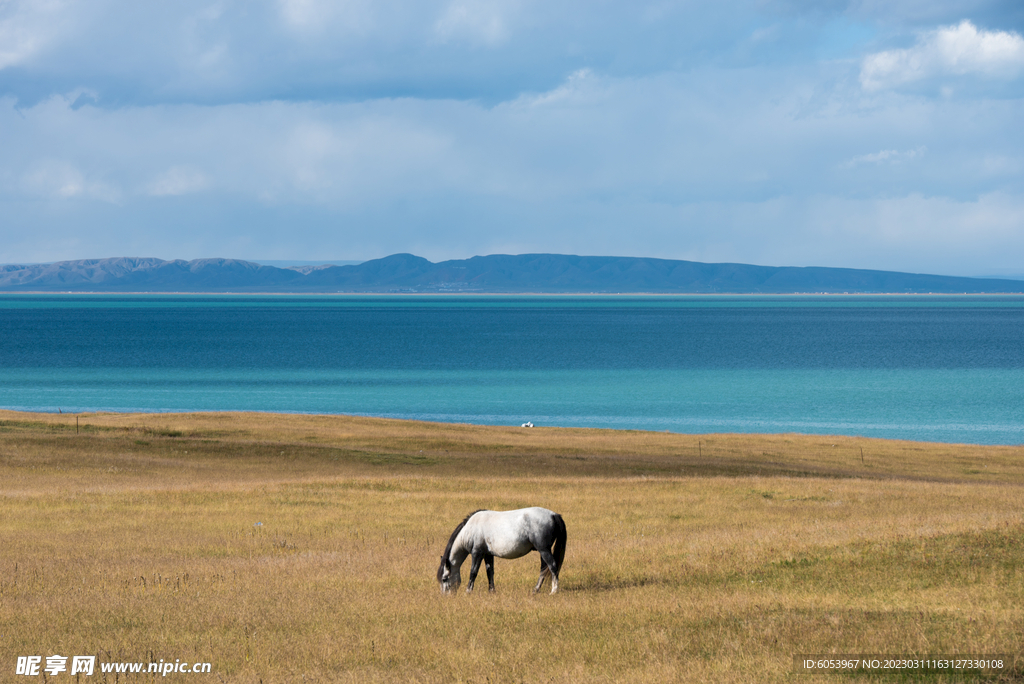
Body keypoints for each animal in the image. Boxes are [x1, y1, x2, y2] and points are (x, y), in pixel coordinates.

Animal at [436, 505, 569, 593]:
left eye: (444, 579)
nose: (446, 596)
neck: (471, 528)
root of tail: (553, 515)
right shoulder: (488, 554)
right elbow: (490, 572)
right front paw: (492, 591)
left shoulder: (477, 553)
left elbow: (473, 572)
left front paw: (468, 591)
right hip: (542, 551)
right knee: (543, 568)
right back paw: (536, 590)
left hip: (544, 550)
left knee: (552, 566)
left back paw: (554, 591)